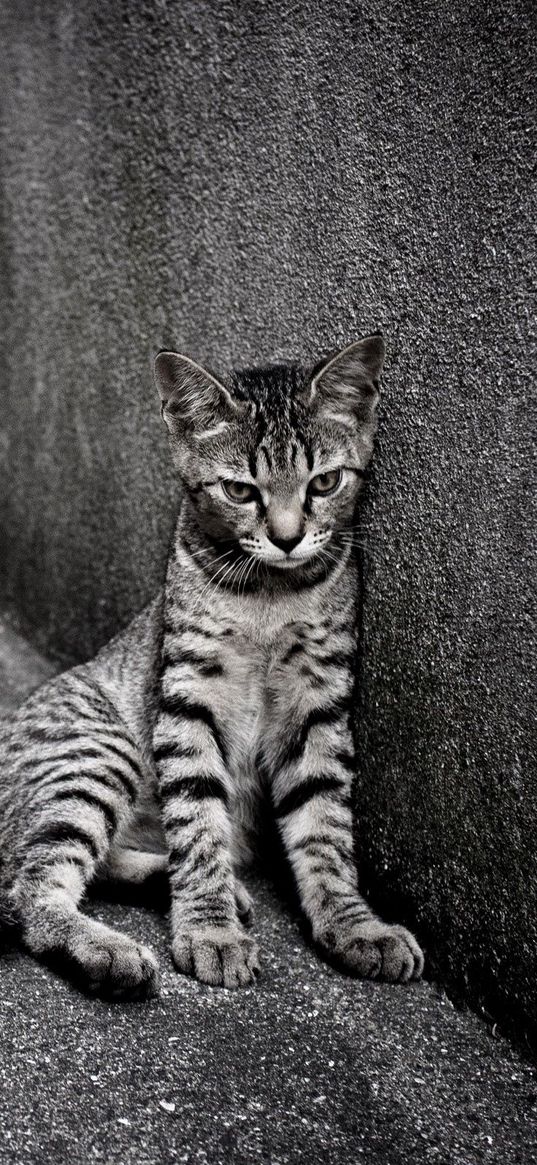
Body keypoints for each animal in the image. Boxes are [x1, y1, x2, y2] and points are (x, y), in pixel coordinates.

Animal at [0, 333, 421, 997]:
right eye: (240, 491)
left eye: (325, 483)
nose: (287, 537)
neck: (272, 595)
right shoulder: (188, 698)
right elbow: (198, 820)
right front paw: (210, 931)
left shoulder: (318, 705)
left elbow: (325, 826)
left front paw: (354, 924)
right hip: (93, 752)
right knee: (29, 886)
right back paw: (110, 946)